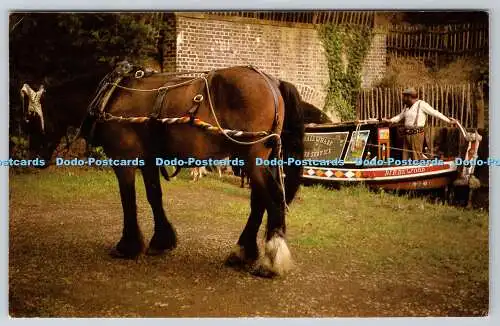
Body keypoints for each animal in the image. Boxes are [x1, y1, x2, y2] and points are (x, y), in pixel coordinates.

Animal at [22, 61, 304, 278]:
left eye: (30, 118)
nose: (32, 159)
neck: (110, 97)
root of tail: (273, 82)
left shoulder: (123, 159)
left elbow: (128, 200)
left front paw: (127, 245)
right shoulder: (149, 158)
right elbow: (153, 196)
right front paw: (161, 240)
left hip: (252, 157)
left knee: (273, 200)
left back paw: (270, 262)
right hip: (253, 158)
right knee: (260, 202)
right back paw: (242, 253)